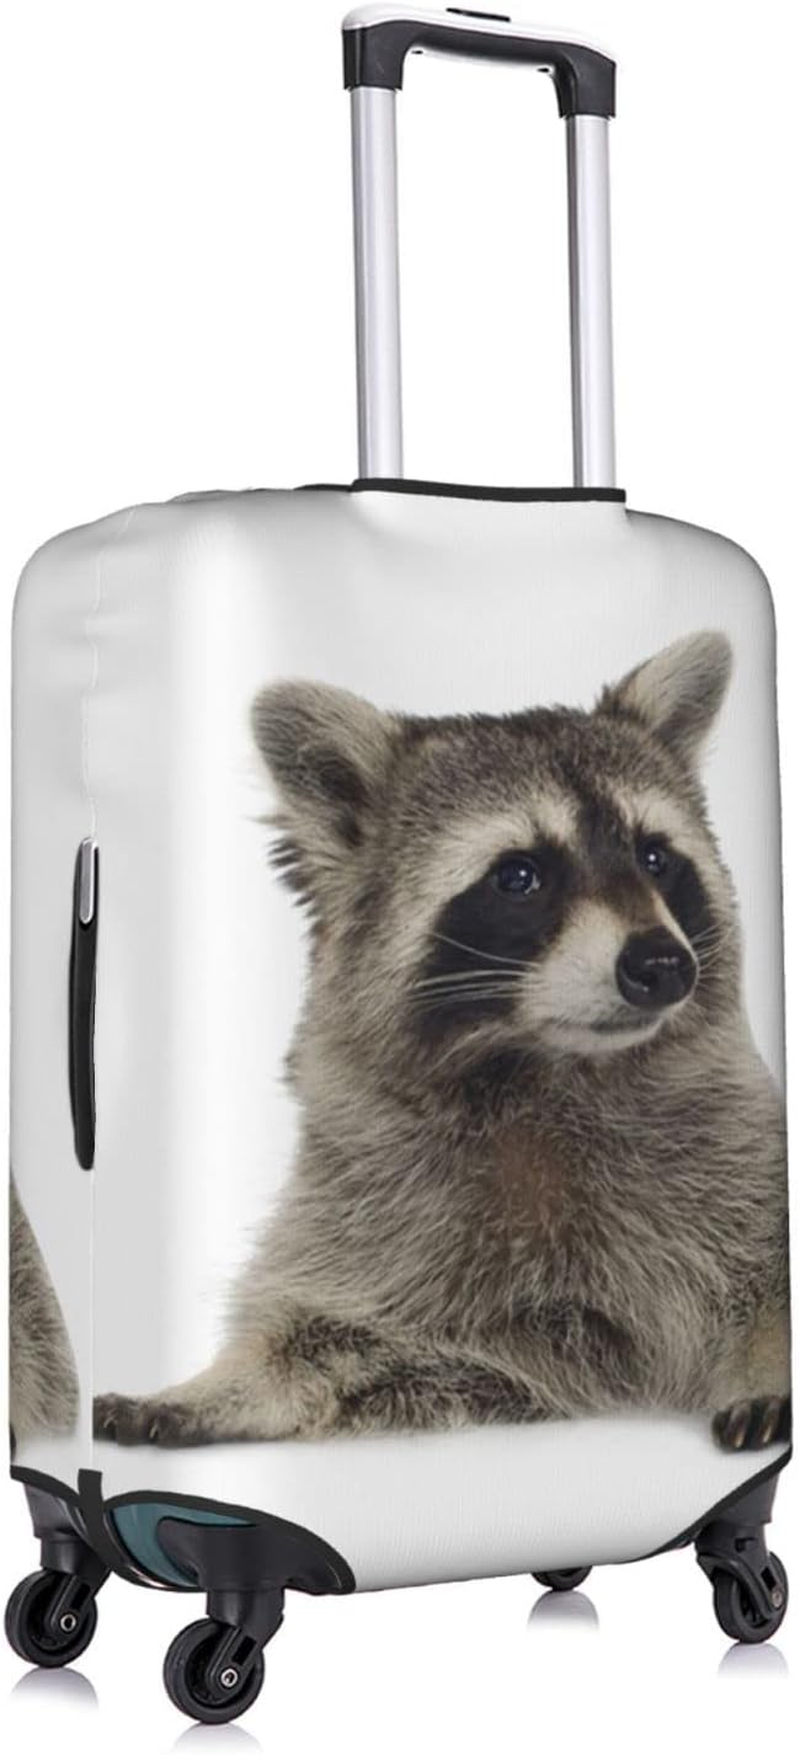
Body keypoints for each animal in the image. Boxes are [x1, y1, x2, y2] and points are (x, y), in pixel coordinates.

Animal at [94, 631, 791, 1453]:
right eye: (519, 876)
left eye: (655, 857)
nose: (662, 966)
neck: (547, 1067)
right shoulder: (387, 1219)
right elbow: (331, 1337)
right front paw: (226, 1384)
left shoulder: (738, 1157)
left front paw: (772, 1364)